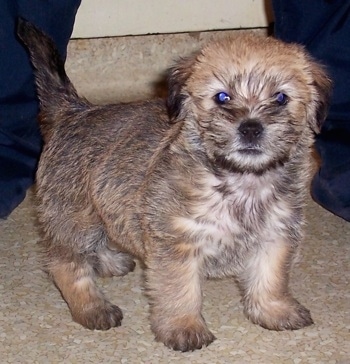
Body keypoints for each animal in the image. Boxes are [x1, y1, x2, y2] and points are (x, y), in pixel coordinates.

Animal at [17, 18, 332, 352]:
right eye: (222, 97)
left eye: (280, 98)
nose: (250, 127)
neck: (241, 182)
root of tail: (73, 111)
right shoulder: (177, 245)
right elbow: (180, 290)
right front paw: (184, 327)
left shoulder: (276, 236)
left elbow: (270, 279)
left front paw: (275, 311)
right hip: (74, 217)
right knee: (66, 265)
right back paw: (92, 308)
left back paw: (109, 262)